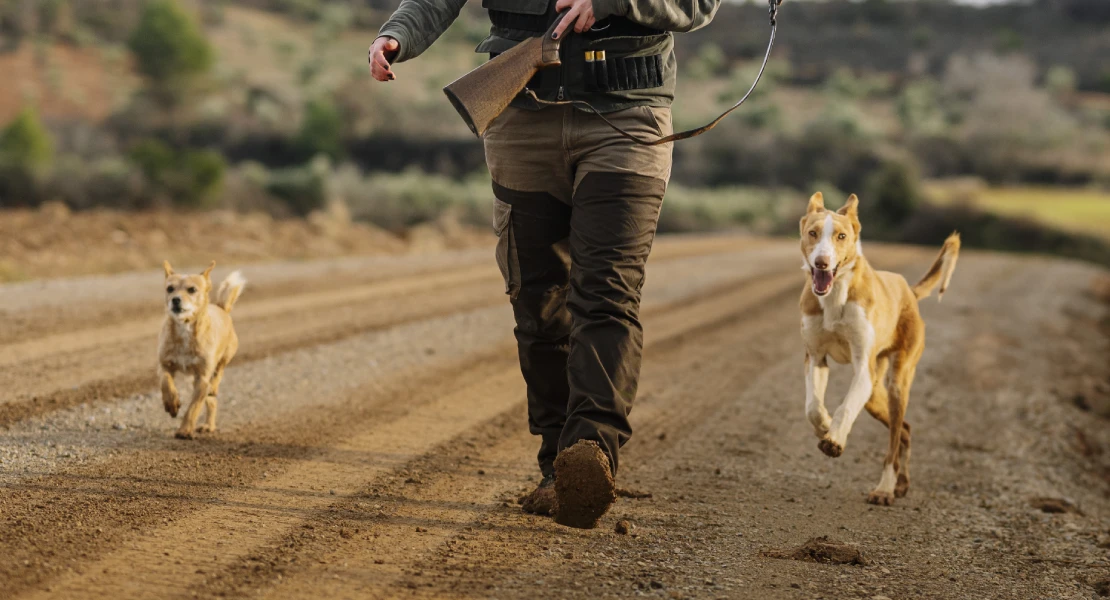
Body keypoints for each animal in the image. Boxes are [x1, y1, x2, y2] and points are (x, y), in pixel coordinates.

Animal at [158, 260, 247, 439]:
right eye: (170, 288)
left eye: (192, 289)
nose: (175, 300)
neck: (184, 329)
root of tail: (222, 308)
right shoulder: (164, 366)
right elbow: (166, 382)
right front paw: (172, 403)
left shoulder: (202, 378)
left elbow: (193, 408)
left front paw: (185, 430)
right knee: (211, 403)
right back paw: (208, 425)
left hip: (223, 359)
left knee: (218, 376)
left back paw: (213, 390)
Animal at [799, 192, 963, 505]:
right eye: (813, 233)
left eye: (841, 236)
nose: (822, 263)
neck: (835, 296)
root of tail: (909, 290)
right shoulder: (816, 358)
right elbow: (812, 406)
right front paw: (825, 425)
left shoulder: (862, 369)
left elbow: (845, 408)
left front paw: (834, 439)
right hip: (874, 394)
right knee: (905, 431)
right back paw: (901, 484)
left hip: (896, 382)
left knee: (894, 439)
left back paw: (885, 489)